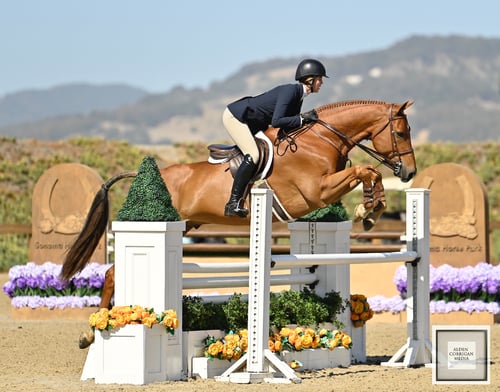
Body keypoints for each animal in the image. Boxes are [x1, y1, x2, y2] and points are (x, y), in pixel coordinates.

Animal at [60, 99, 416, 348]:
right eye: (400, 133)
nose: (409, 172)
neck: (321, 140)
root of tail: (147, 175)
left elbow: (368, 172)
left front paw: (372, 208)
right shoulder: (317, 192)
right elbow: (365, 170)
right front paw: (367, 211)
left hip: (188, 224)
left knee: (111, 273)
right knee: (113, 274)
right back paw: (91, 333)